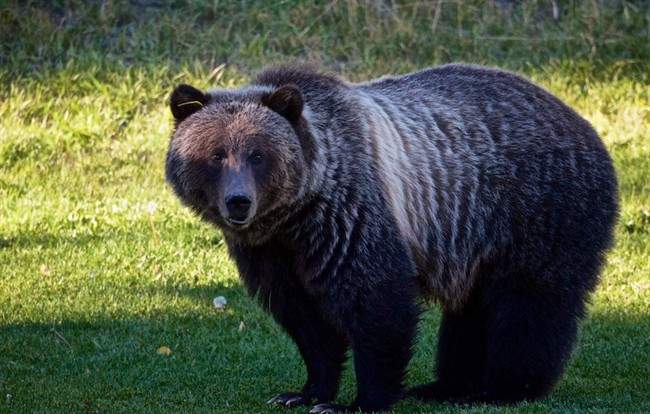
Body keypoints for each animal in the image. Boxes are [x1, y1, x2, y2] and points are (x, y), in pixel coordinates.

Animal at [165, 64, 618, 413]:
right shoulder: (272, 252)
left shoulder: (350, 217)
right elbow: (305, 320)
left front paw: (358, 401)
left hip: (537, 211)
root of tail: (582, 122)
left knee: (529, 306)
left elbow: (376, 302)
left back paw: (502, 389)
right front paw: (303, 392)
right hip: (474, 241)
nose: (239, 202)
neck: (296, 215)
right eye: (217, 154)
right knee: (471, 312)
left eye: (258, 154)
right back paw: (446, 386)